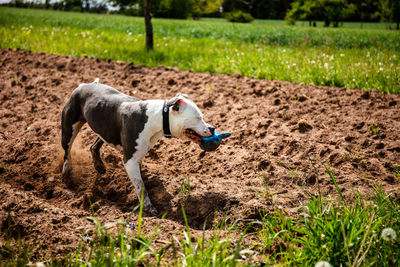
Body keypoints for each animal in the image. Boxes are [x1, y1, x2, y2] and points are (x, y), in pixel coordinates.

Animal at [59, 79, 214, 216]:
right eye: (198, 118)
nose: (212, 128)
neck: (158, 118)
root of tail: (83, 85)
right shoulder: (130, 161)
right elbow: (141, 186)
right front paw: (149, 209)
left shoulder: (138, 155)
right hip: (69, 129)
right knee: (67, 152)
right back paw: (66, 175)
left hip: (105, 128)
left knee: (93, 146)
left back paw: (99, 167)